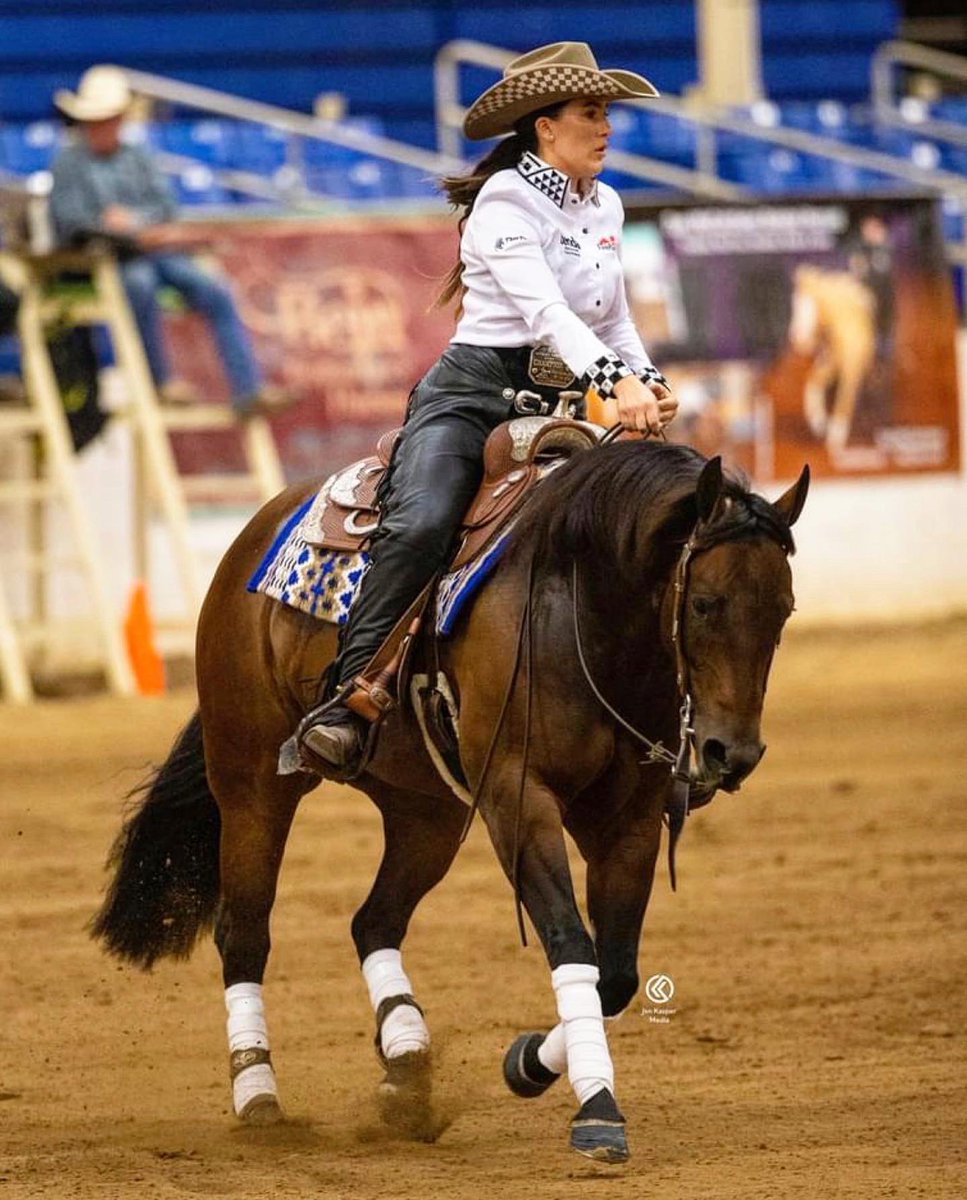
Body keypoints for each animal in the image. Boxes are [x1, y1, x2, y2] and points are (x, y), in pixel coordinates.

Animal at [91, 436, 809, 1164]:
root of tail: (256, 529)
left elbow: (615, 975)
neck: (581, 604)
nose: (731, 754)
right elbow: (569, 942)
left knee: (373, 921)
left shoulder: (628, 822)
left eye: (783, 608)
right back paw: (258, 1091)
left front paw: (527, 1064)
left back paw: (405, 1062)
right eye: (705, 603)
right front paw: (598, 1110)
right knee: (245, 934)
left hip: (426, 813)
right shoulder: (518, 801)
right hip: (252, 785)